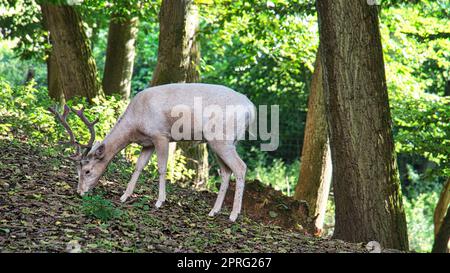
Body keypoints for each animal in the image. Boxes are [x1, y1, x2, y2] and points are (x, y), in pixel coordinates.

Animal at [49, 83, 256, 221]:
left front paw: (159, 201)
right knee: (226, 172)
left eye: (87, 171)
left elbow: (162, 168)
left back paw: (233, 215)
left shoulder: (161, 135)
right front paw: (124, 196)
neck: (136, 124)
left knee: (240, 167)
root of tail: (251, 108)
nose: (80, 192)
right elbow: (138, 166)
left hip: (222, 139)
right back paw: (213, 211)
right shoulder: (147, 143)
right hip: (219, 143)